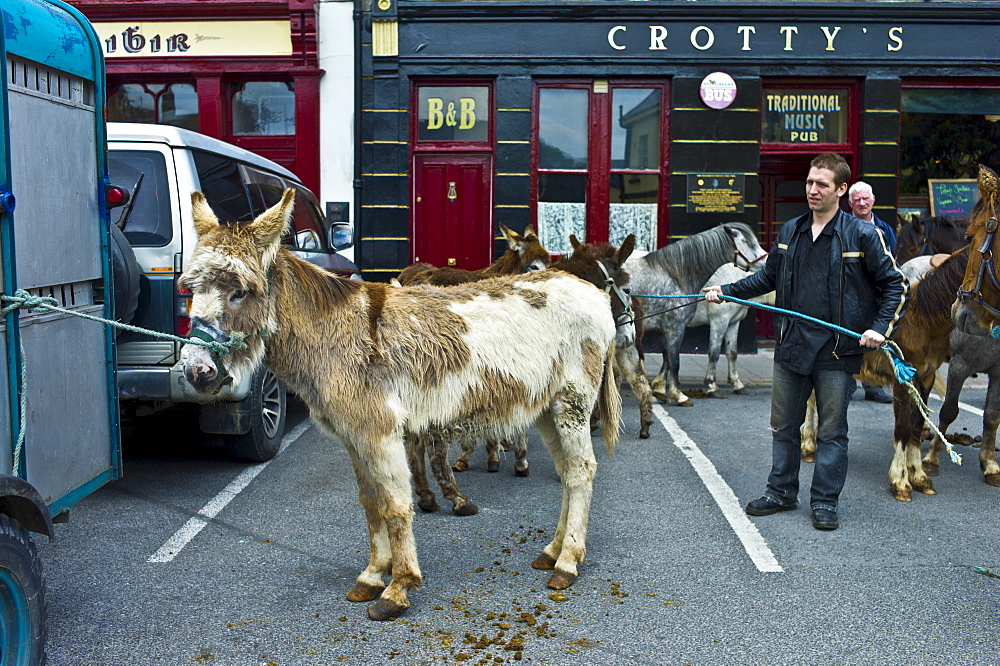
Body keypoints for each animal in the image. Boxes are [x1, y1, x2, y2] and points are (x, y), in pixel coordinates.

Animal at [178, 189, 616, 620]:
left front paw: (398, 587)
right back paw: (553, 551)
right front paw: (373, 576)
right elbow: (371, 503)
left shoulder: (380, 431)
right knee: (567, 472)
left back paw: (567, 564)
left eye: (239, 291)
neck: (332, 334)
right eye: (191, 292)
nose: (197, 370)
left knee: (581, 471)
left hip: (573, 402)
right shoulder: (354, 436)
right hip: (547, 409)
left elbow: (394, 506)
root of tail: (592, 292)